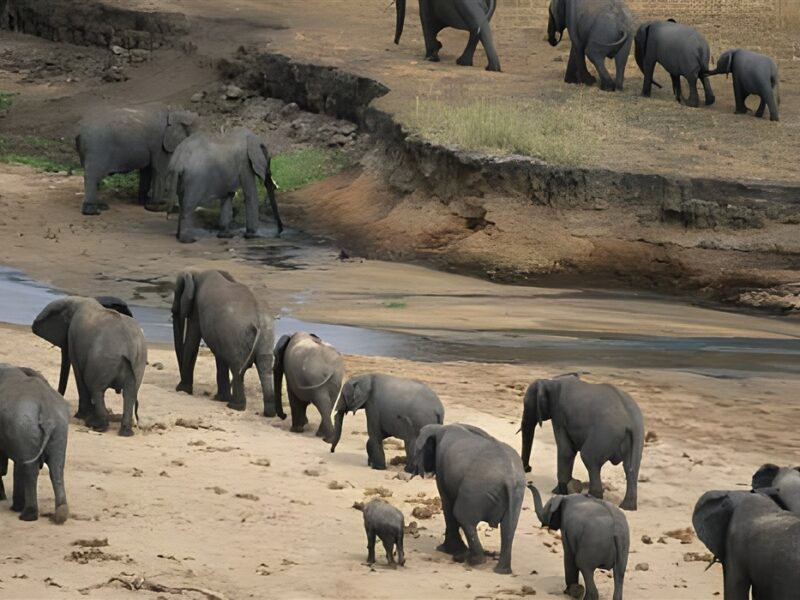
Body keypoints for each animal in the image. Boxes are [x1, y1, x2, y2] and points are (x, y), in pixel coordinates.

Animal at [0, 364, 70, 523]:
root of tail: (47, 411)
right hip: (59, 428)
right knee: (56, 468)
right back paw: (60, 514)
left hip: (25, 425)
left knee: (30, 469)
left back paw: (27, 516)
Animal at [32, 297, 146, 436]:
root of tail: (128, 347)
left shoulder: (72, 336)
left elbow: (78, 373)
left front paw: (80, 416)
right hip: (138, 363)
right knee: (129, 393)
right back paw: (125, 432)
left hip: (102, 362)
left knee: (97, 390)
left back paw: (97, 426)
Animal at [172, 269, 275, 414]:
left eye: (176, 294)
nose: (173, 310)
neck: (196, 273)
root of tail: (258, 319)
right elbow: (219, 356)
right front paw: (219, 398)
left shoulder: (196, 310)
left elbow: (192, 343)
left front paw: (183, 390)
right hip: (265, 337)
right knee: (264, 365)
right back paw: (268, 413)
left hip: (238, 335)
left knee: (237, 367)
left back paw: (234, 406)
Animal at [412, 423, 525, 574]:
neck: (440, 428)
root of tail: (510, 479)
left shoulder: (441, 468)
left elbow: (447, 504)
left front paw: (445, 550)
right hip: (515, 496)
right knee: (508, 528)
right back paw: (501, 570)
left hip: (475, 490)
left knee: (462, 516)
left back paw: (473, 560)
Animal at [520, 374, 644, 510]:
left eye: (526, 405)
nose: (528, 468)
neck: (551, 380)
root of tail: (632, 422)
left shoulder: (559, 415)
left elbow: (566, 451)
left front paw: (558, 492)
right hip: (636, 438)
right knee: (631, 467)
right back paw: (627, 507)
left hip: (604, 434)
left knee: (588, 457)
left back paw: (593, 496)